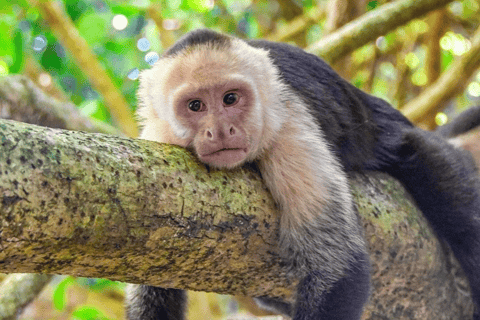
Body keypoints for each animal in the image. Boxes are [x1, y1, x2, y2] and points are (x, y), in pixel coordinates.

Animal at [126, 28, 480, 318]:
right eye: (195, 105)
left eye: (230, 98)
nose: (221, 130)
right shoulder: (159, 136)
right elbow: (151, 281)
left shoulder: (288, 123)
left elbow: (338, 264)